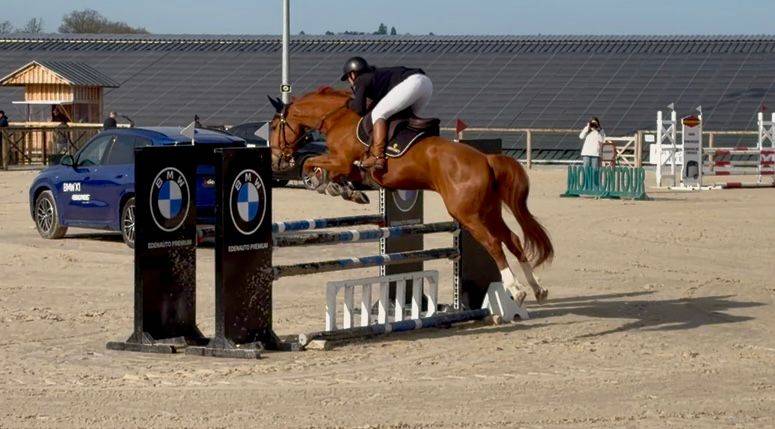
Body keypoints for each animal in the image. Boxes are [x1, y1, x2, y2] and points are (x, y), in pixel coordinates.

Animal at [267, 87, 553, 304]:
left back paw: (516, 289)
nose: (276, 161)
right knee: (513, 240)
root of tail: (486, 159)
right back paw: (537, 288)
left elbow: (310, 162)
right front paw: (345, 190)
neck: (337, 118)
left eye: (272, 126)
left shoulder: (342, 161)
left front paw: (320, 182)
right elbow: (329, 171)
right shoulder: (350, 168)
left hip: (467, 214)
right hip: (489, 210)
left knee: (494, 243)